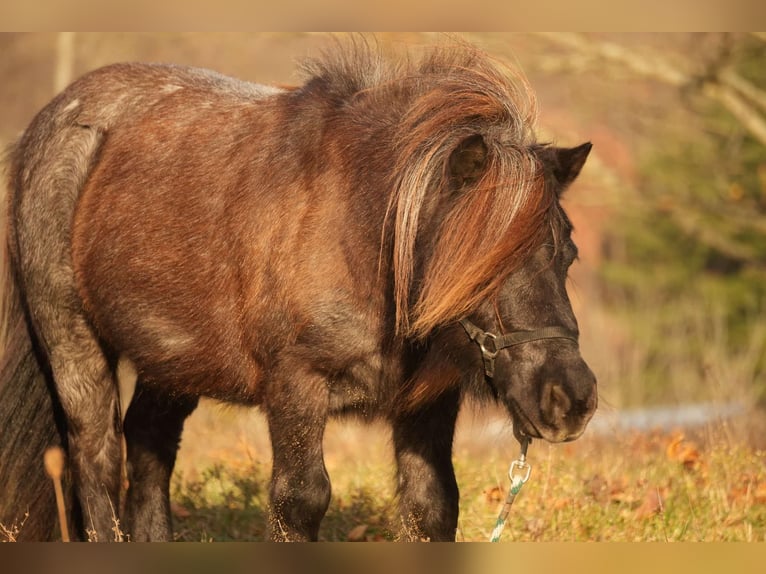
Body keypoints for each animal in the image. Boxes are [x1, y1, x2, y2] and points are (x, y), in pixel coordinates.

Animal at [0, 42, 600, 544]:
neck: (357, 233)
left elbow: (433, 503)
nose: (571, 399)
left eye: (567, 256)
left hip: (172, 358)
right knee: (98, 459)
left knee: (149, 444)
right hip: (73, 345)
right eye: (481, 266)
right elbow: (301, 500)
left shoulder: (427, 402)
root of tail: (51, 123)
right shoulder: (296, 384)